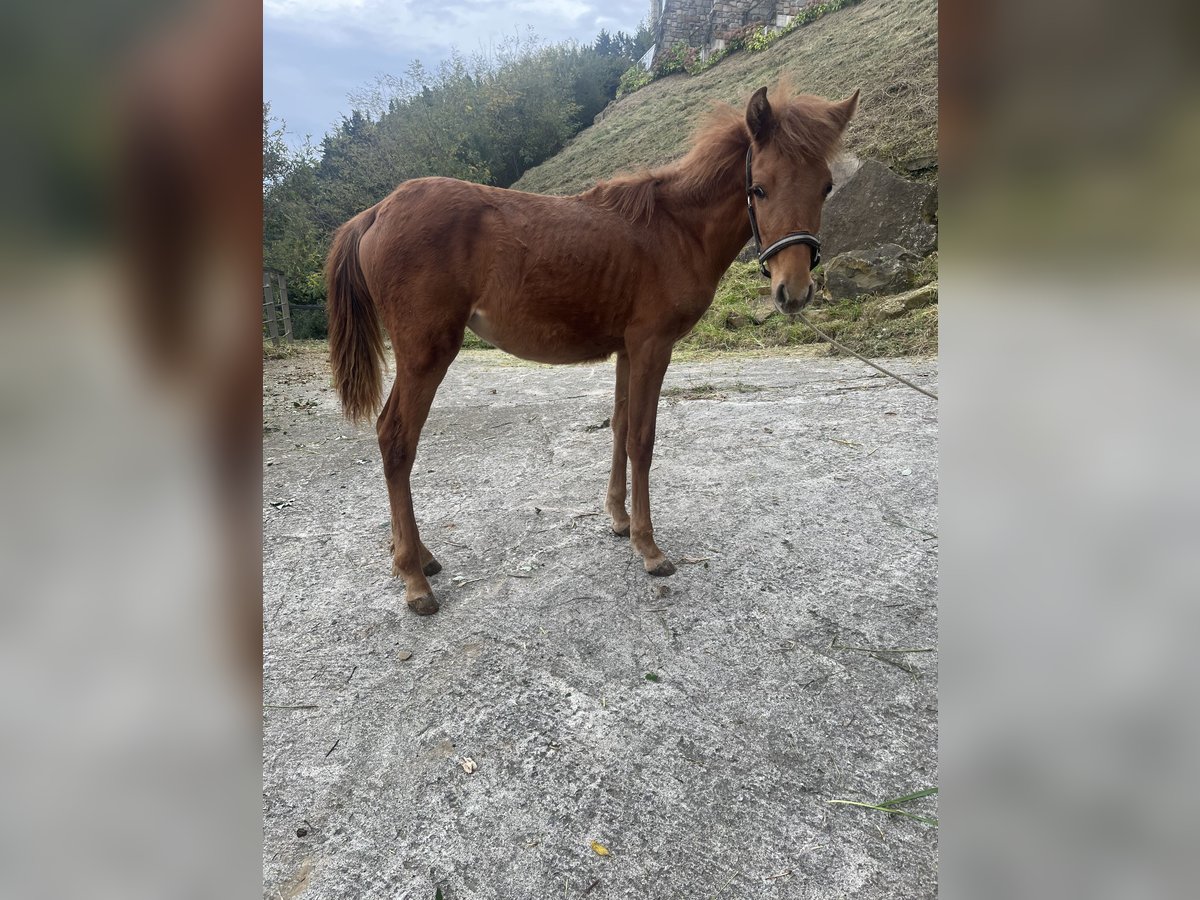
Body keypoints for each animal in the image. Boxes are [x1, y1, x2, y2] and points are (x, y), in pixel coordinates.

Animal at [326, 83, 858, 615]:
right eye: (759, 188)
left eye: (826, 186)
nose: (794, 292)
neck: (675, 230)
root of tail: (377, 212)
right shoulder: (652, 346)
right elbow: (642, 439)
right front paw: (649, 547)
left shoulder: (627, 350)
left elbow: (620, 428)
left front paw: (620, 520)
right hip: (426, 354)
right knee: (396, 439)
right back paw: (415, 578)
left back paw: (420, 557)